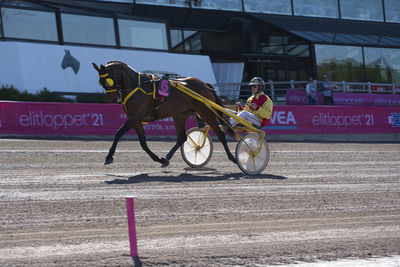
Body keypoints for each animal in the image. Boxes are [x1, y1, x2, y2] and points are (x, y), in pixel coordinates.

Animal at [92, 61, 236, 169]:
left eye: (108, 81)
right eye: (100, 82)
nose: (112, 99)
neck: (138, 86)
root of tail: (205, 84)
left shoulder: (135, 117)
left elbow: (119, 133)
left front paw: (109, 157)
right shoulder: (136, 120)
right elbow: (143, 143)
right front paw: (160, 160)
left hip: (206, 112)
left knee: (220, 134)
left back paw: (233, 157)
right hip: (179, 116)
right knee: (182, 138)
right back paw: (167, 157)